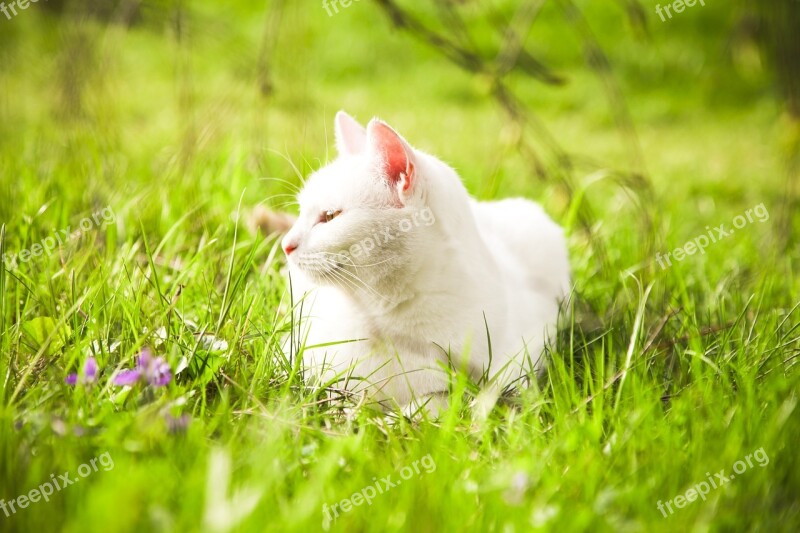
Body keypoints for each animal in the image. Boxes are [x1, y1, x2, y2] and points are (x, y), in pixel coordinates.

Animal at [282, 110, 568, 414]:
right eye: (302, 212)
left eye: (330, 216)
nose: (286, 244)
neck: (384, 318)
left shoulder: (512, 371)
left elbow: (434, 403)